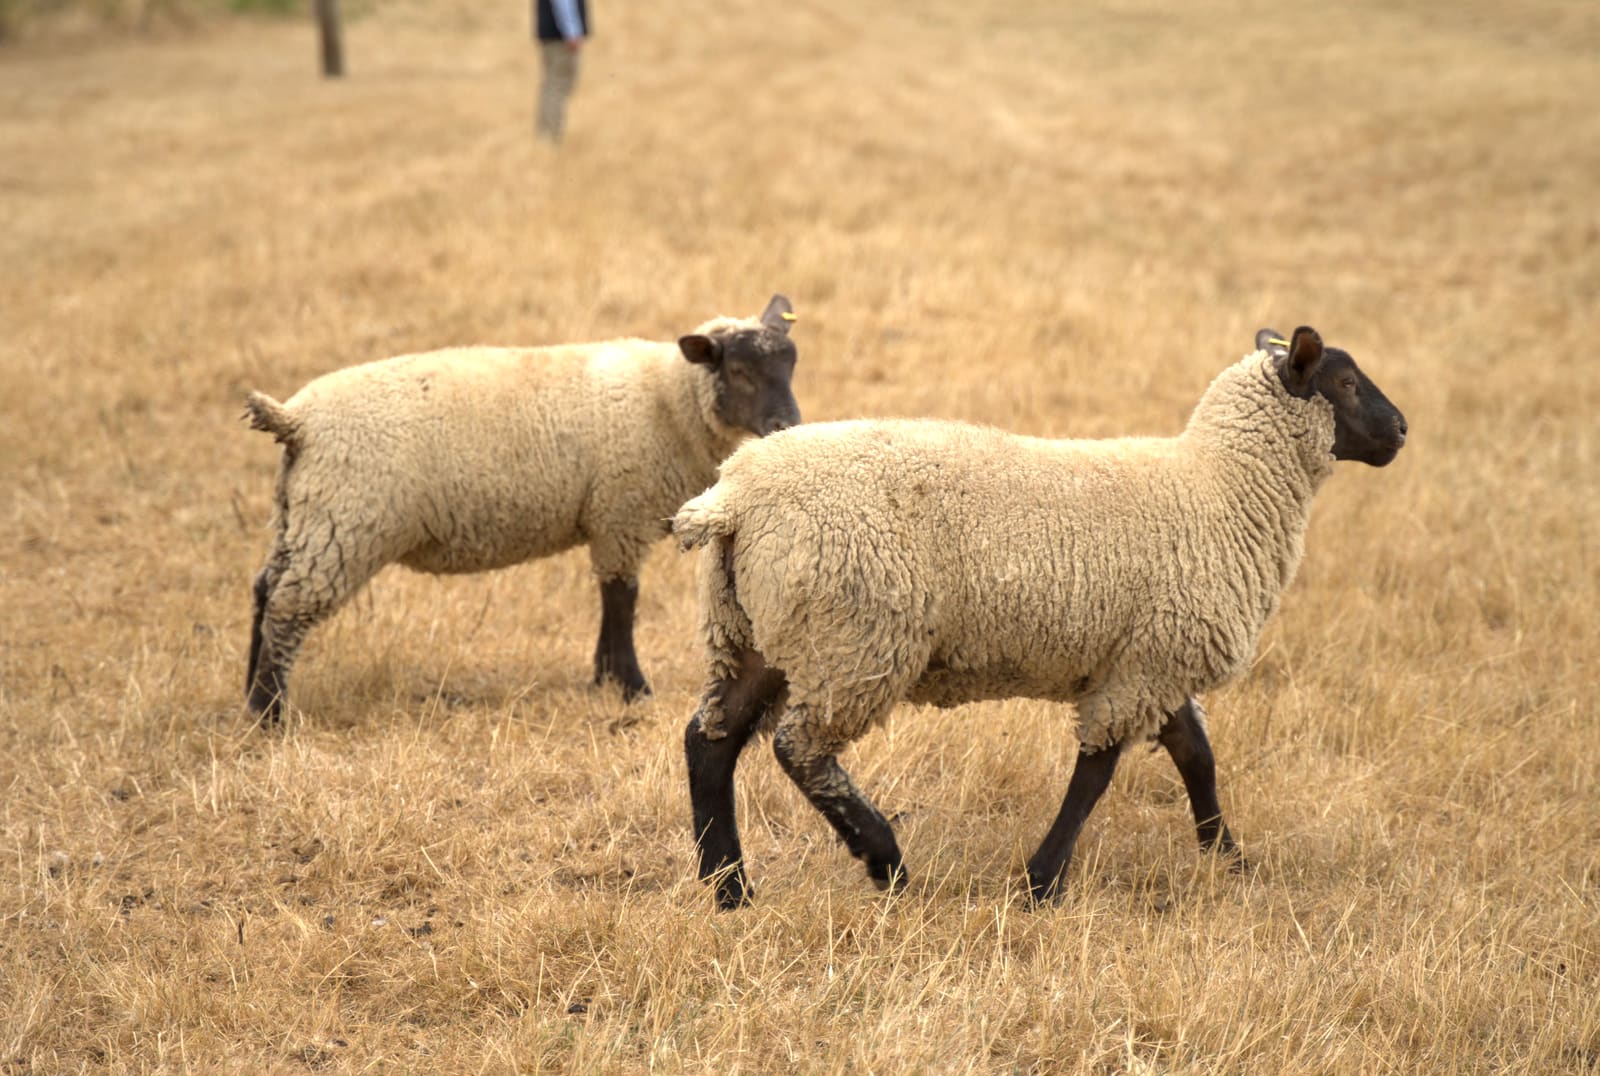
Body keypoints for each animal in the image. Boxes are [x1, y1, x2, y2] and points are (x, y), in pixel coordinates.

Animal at [243, 295, 801, 725]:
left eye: (791, 363)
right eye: (738, 370)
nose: (787, 425)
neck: (668, 398)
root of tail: (295, 419)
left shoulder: (609, 519)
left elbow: (611, 601)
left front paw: (603, 677)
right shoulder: (619, 515)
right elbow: (622, 600)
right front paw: (631, 686)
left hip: (302, 515)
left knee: (265, 590)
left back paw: (249, 694)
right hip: (345, 522)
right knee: (288, 606)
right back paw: (270, 712)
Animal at [674, 326, 1407, 908]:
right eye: (1345, 381)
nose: (1402, 430)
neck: (1219, 487)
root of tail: (734, 496)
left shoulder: (1152, 657)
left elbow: (1196, 757)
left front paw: (1228, 858)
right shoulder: (1147, 666)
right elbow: (1096, 775)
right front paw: (1042, 882)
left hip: (754, 633)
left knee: (710, 742)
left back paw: (729, 888)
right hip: (854, 640)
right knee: (798, 750)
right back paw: (885, 861)